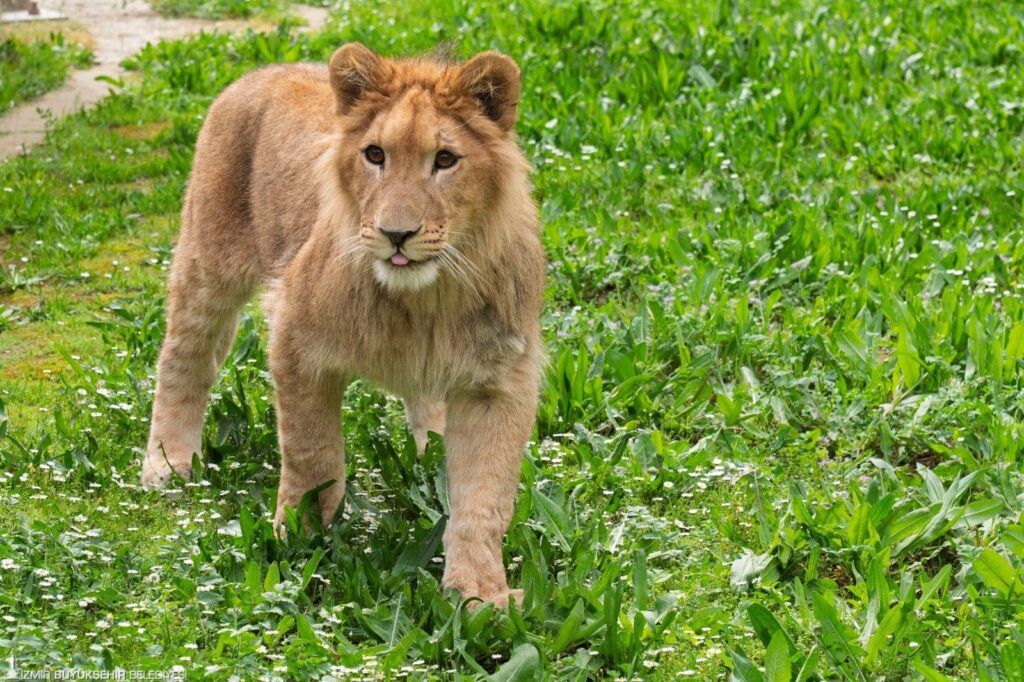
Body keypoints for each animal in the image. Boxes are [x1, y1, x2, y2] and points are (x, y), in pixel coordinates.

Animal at [140, 43, 545, 607]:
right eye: (375, 155)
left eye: (445, 160)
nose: (397, 234)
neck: (426, 300)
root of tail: (270, 68)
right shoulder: (295, 339)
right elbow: (313, 457)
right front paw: (299, 544)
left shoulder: (499, 378)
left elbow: (485, 499)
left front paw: (480, 596)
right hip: (208, 261)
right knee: (183, 358)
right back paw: (168, 462)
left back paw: (428, 454)